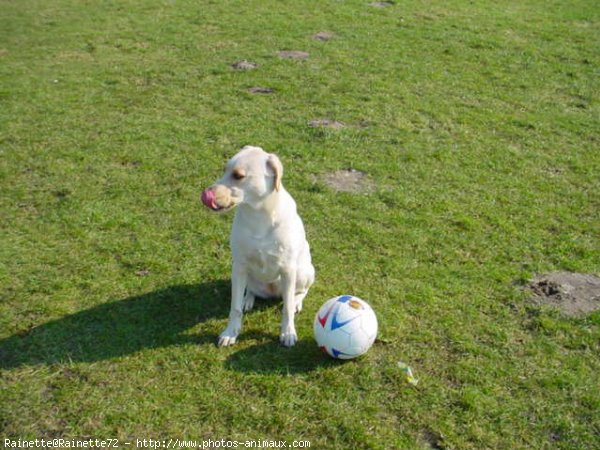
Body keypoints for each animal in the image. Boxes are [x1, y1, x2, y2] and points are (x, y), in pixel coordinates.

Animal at [200, 146, 314, 346]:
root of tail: (273, 292)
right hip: (247, 275)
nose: (206, 194)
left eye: (238, 175)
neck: (258, 215)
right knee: (251, 291)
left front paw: (288, 332)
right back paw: (248, 299)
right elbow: (234, 307)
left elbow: (287, 309)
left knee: (299, 292)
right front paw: (231, 332)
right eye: (224, 170)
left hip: (304, 272)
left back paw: (296, 301)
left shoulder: (288, 269)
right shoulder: (239, 266)